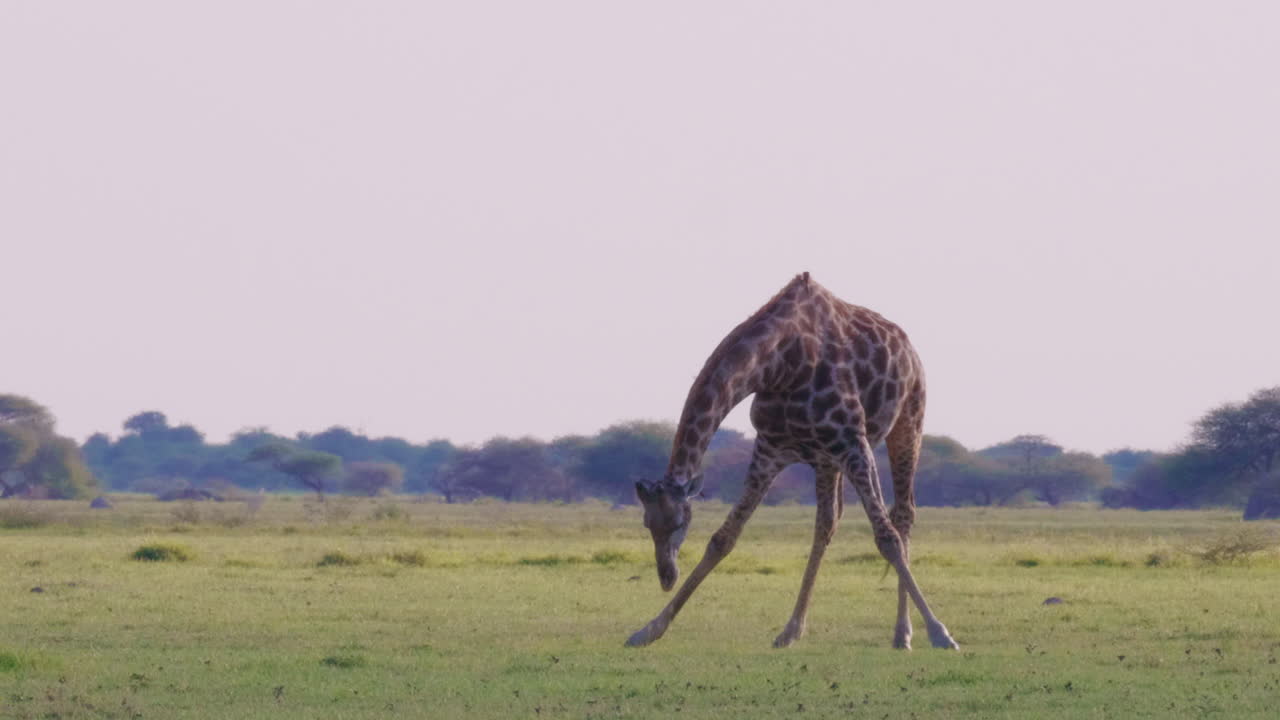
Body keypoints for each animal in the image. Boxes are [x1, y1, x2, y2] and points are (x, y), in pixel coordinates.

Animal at [627, 272, 959, 650]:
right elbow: (723, 539)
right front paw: (649, 629)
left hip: (907, 421)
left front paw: (941, 633)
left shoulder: (851, 442)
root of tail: (908, 346)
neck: (777, 363)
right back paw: (791, 629)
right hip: (827, 459)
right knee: (828, 521)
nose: (666, 576)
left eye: (681, 522)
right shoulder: (770, 449)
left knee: (901, 516)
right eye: (647, 524)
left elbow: (886, 537)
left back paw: (903, 633)